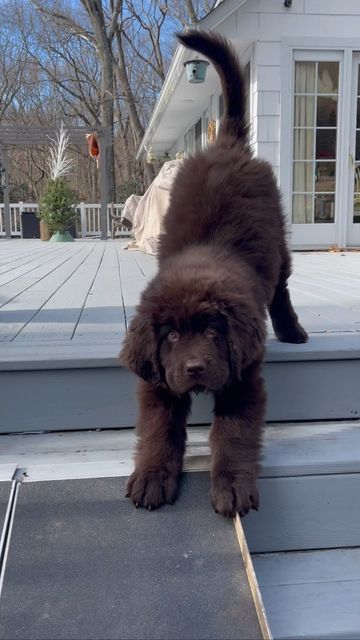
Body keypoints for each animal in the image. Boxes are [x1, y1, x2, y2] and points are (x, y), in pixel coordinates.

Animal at [120, 31, 306, 520]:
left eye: (212, 330)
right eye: (170, 336)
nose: (195, 368)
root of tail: (228, 144)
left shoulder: (242, 378)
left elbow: (234, 435)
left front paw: (233, 488)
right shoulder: (158, 380)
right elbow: (158, 430)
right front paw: (151, 477)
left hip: (279, 239)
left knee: (281, 288)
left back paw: (293, 330)